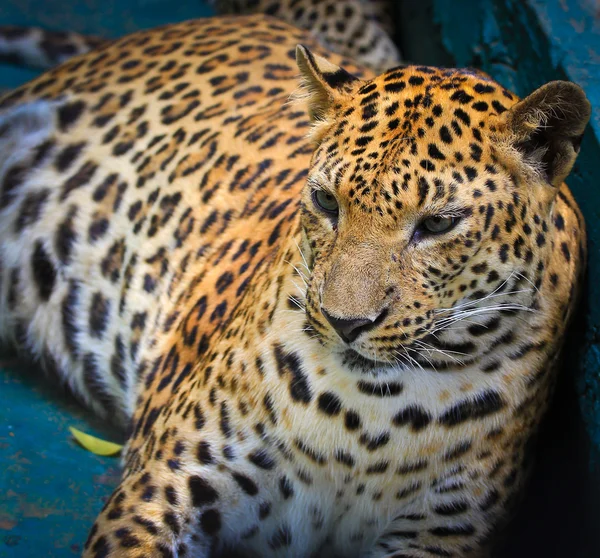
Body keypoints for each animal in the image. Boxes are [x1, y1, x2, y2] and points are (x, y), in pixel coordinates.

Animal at [0, 9, 592, 558]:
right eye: (327, 202)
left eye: (438, 224)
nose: (345, 322)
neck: (365, 425)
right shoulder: (165, 481)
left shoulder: (438, 536)